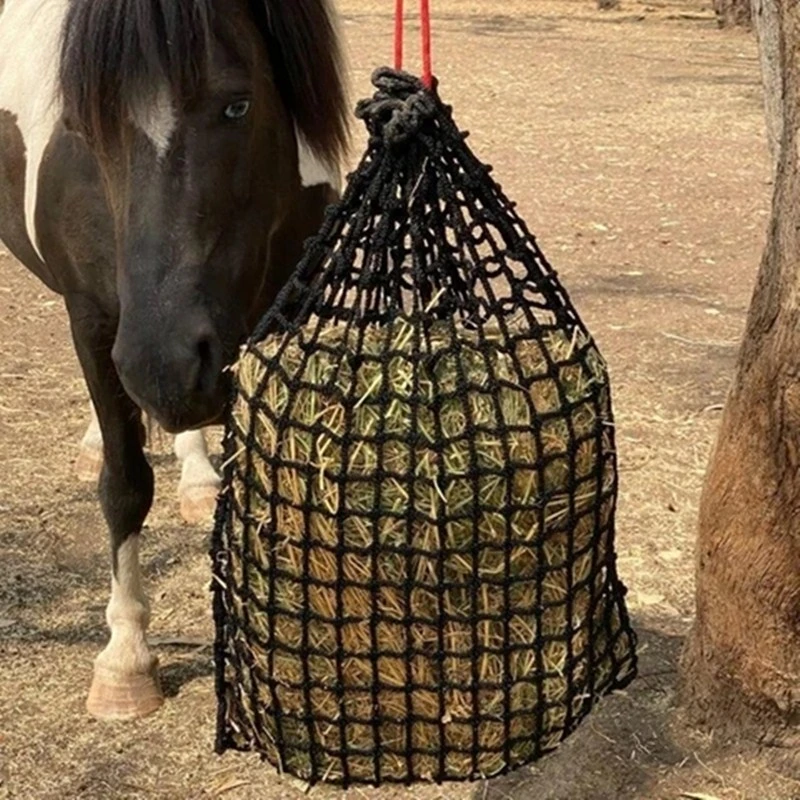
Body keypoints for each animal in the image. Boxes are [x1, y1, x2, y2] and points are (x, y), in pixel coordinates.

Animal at [0, 0, 350, 720]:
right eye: (84, 125)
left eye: (238, 106)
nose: (161, 366)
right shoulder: (94, 320)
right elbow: (125, 483)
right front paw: (126, 660)